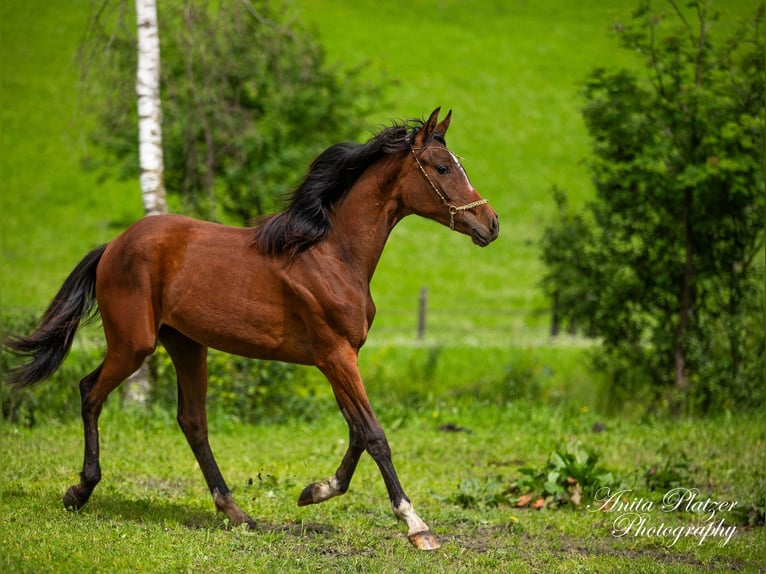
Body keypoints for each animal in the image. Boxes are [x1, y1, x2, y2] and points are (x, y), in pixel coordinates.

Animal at [6, 106, 500, 552]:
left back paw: (235, 511)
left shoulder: (338, 358)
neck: (332, 254)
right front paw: (417, 527)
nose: (491, 224)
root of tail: (114, 245)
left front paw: (313, 492)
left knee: (192, 420)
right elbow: (374, 435)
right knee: (90, 392)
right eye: (442, 167)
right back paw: (79, 491)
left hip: (186, 344)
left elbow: (357, 432)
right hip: (134, 344)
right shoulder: (336, 355)